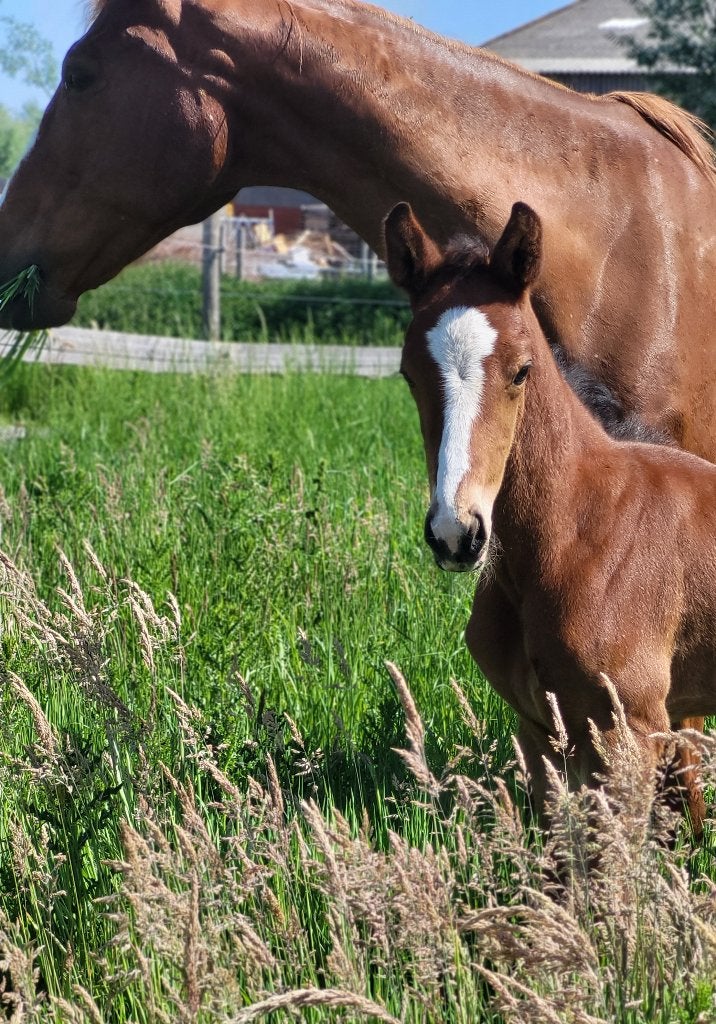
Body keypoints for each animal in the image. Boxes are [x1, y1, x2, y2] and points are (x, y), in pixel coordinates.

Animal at [383, 199, 716, 825]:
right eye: (408, 375)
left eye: (521, 369)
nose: (456, 533)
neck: (580, 530)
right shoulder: (539, 732)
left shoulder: (631, 734)